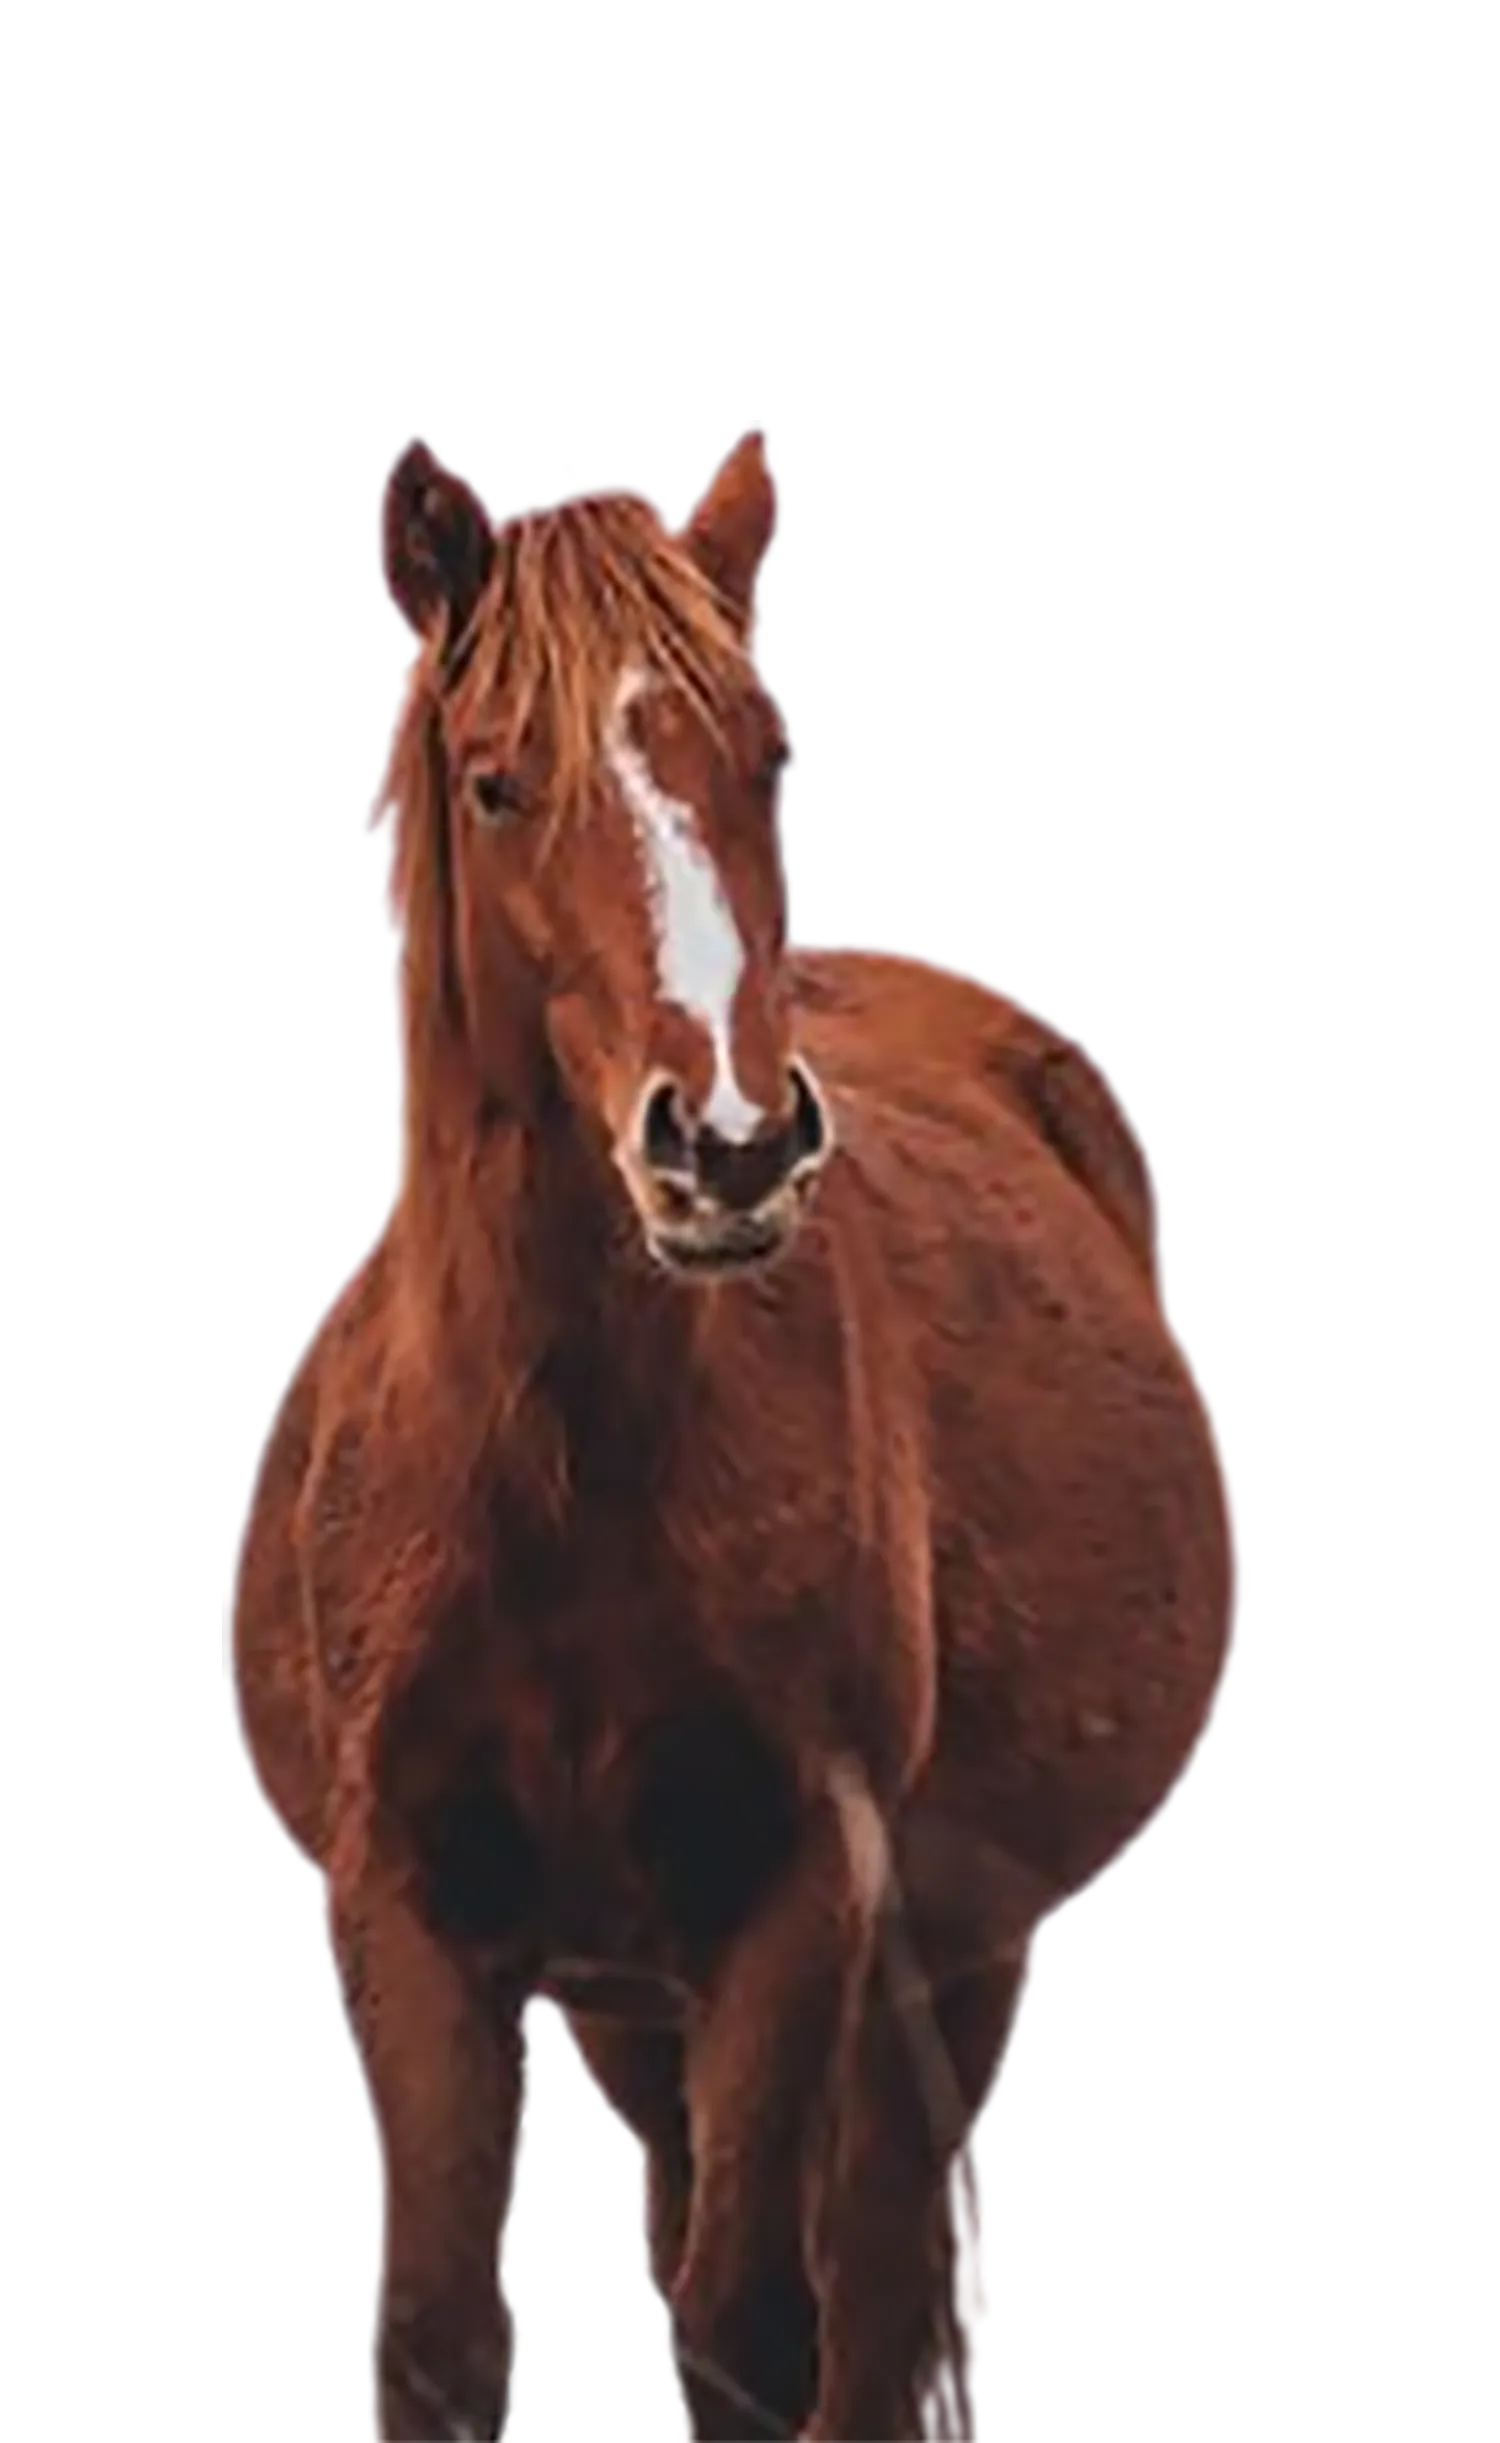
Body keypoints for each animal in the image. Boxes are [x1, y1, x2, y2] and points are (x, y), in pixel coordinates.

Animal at [226, 425, 1243, 2442]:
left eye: (765, 748)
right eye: (499, 780)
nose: (729, 1143)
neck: (558, 1479)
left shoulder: (800, 1904)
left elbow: (759, 2334)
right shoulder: (408, 1912)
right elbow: (442, 2333)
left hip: (949, 1953)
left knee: (887, 2288)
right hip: (639, 1998)